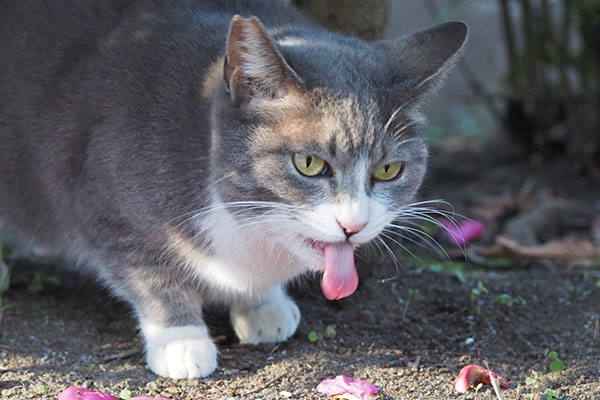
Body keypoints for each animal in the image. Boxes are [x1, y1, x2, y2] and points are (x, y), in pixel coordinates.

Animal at [0, 0, 468, 378]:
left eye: (389, 170)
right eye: (309, 164)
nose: (353, 225)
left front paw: (262, 304)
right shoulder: (104, 200)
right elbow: (148, 271)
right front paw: (181, 340)